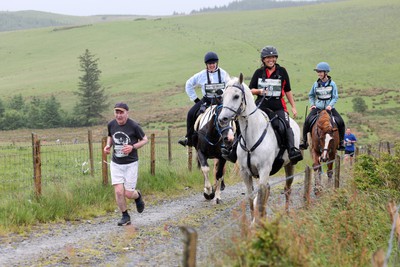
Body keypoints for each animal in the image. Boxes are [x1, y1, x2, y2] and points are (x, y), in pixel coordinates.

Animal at [219, 74, 300, 223]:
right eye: (223, 96)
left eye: (236, 96)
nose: (222, 119)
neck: (251, 136)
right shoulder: (245, 172)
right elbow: (251, 197)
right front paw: (253, 220)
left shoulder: (264, 170)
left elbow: (261, 197)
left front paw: (258, 223)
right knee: (269, 190)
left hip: (290, 165)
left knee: (287, 188)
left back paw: (286, 213)